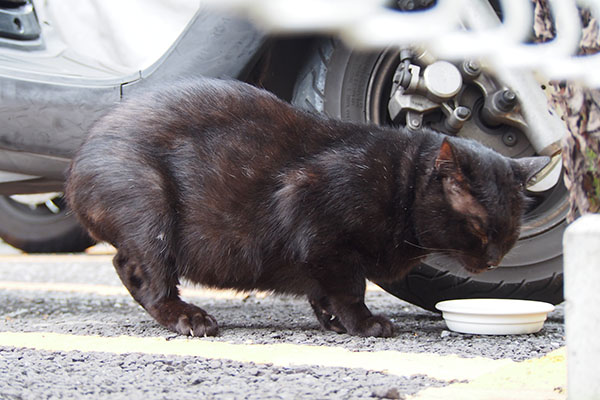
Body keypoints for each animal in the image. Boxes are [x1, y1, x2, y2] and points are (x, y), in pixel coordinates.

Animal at [65, 78, 548, 338]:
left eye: (510, 233)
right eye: (480, 228)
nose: (492, 260)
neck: (402, 183)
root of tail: (79, 160)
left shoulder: (320, 254)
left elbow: (324, 288)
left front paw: (331, 320)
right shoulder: (317, 220)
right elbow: (351, 286)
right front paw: (364, 324)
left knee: (124, 265)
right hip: (149, 207)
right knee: (143, 272)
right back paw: (188, 317)